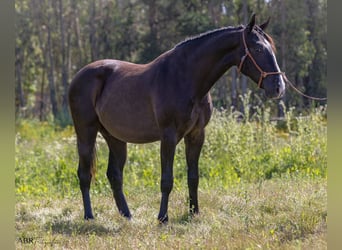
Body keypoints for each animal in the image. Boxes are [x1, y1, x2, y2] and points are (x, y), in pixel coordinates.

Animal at [68, 14, 284, 223]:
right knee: (84, 174)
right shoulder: (168, 136)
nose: (278, 87)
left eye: (272, 48)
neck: (186, 78)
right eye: (258, 48)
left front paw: (194, 212)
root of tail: (79, 76)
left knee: (114, 175)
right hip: (86, 132)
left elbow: (193, 177)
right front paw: (163, 217)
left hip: (115, 137)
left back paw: (128, 216)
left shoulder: (196, 135)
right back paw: (89, 216)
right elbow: (167, 180)